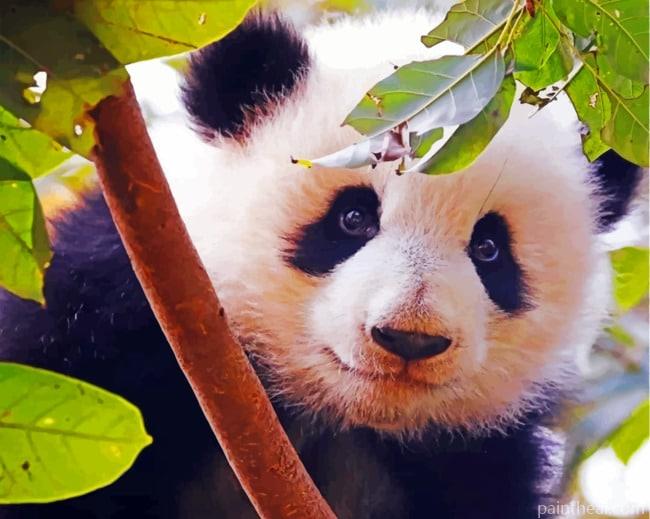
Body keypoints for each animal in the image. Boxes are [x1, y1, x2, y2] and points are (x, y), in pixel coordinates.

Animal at [0, 7, 643, 519]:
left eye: (489, 250)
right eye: (353, 218)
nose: (409, 339)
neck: (323, 412)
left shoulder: (478, 457)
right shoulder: (102, 320)